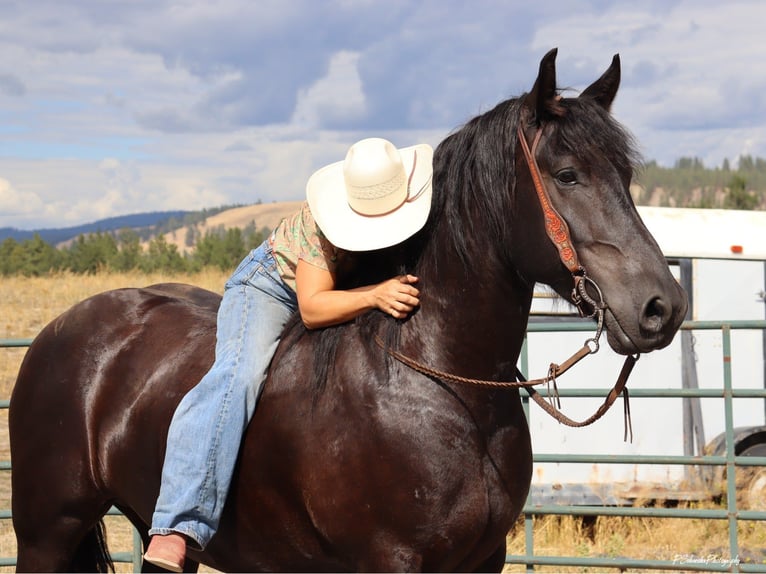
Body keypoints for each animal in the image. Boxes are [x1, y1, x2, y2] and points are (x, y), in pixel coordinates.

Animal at [9, 48, 687, 572]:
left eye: (626, 175)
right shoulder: (389, 558)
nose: (663, 307)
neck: (437, 382)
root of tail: (60, 332)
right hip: (47, 531)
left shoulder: (482, 559)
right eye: (567, 175)